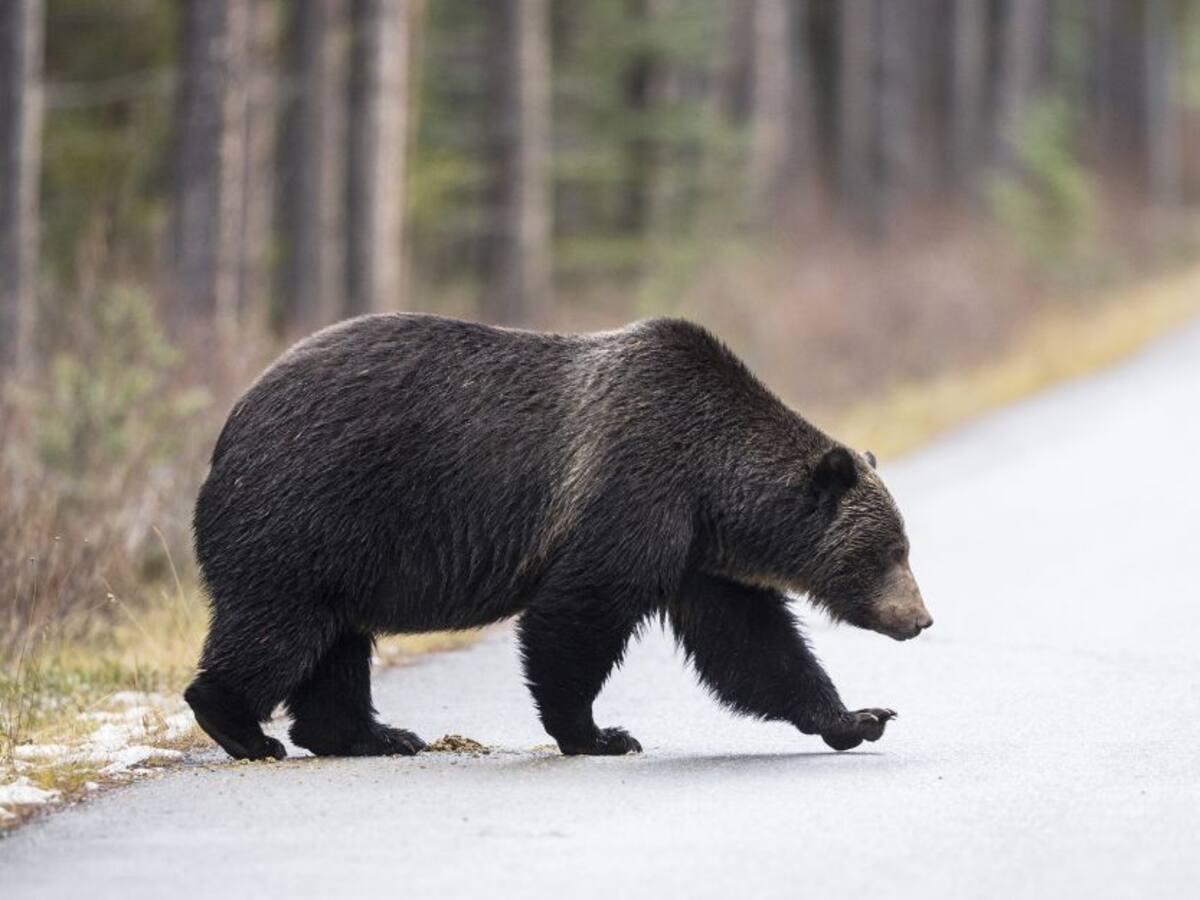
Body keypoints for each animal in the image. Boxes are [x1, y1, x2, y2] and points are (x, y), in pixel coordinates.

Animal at [185, 313, 932, 760]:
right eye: (886, 551)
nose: (920, 618)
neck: (711, 483)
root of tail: (229, 424)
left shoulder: (698, 553)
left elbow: (752, 645)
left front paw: (859, 717)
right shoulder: (633, 491)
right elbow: (578, 612)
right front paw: (600, 733)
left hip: (343, 549)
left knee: (335, 642)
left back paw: (372, 733)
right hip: (310, 510)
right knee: (280, 626)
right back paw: (243, 728)